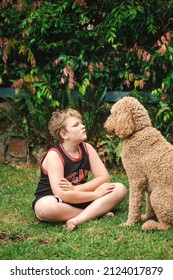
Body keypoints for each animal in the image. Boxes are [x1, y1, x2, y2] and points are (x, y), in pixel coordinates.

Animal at [104, 95, 173, 231]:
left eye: (113, 113)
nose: (104, 127)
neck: (138, 131)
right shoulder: (148, 182)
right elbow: (148, 205)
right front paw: (146, 216)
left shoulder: (136, 180)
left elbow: (134, 204)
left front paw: (129, 223)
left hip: (158, 195)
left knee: (166, 226)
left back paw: (150, 225)